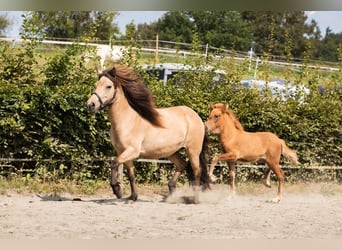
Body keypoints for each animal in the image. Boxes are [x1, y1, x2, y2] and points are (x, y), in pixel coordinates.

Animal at [87, 65, 210, 202]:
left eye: (108, 86)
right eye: (96, 85)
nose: (90, 105)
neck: (127, 120)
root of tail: (196, 116)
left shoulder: (132, 151)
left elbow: (114, 163)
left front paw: (117, 190)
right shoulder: (123, 152)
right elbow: (131, 174)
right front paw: (132, 196)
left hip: (192, 150)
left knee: (197, 171)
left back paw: (195, 199)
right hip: (171, 151)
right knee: (182, 165)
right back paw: (171, 192)